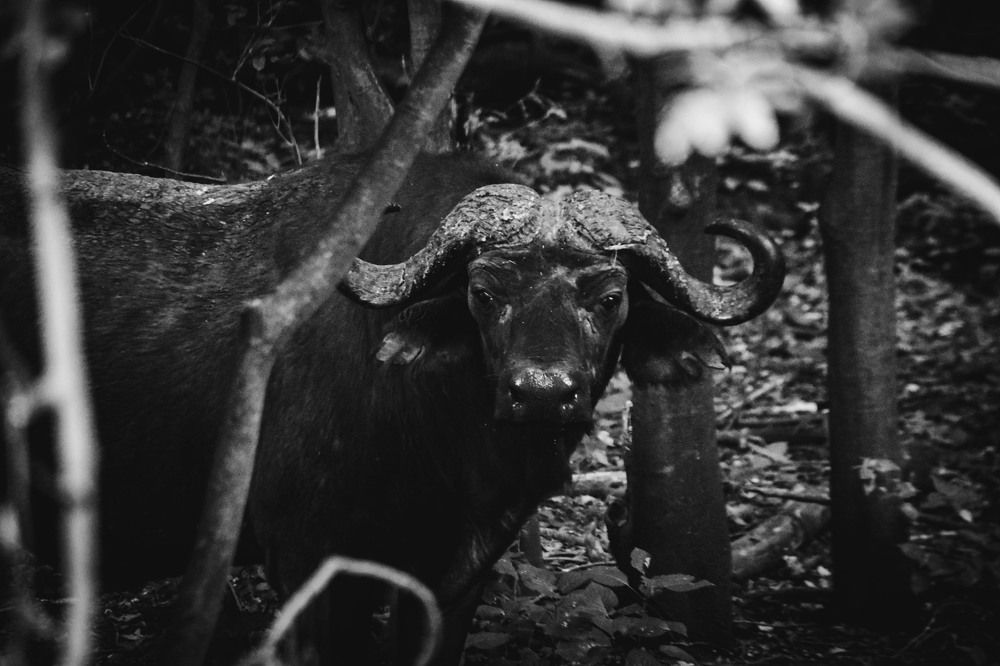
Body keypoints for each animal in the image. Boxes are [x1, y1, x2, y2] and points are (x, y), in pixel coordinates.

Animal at [0, 152, 783, 664]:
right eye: (483, 292)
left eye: (610, 297)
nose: (541, 393)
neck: (440, 447)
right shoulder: (303, 560)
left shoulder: (457, 574)